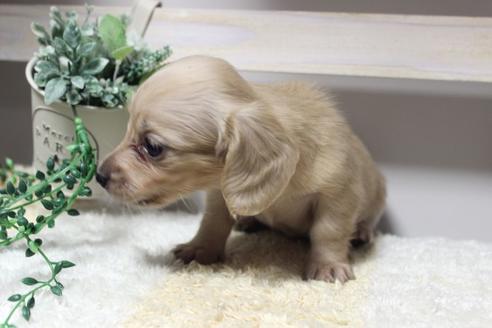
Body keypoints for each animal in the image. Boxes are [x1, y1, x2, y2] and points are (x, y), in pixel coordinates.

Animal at [96, 55, 386, 284]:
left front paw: (328, 266)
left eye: (152, 147)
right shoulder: (219, 194)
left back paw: (362, 232)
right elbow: (212, 222)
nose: (99, 176)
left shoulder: (338, 196)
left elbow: (328, 232)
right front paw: (200, 248)